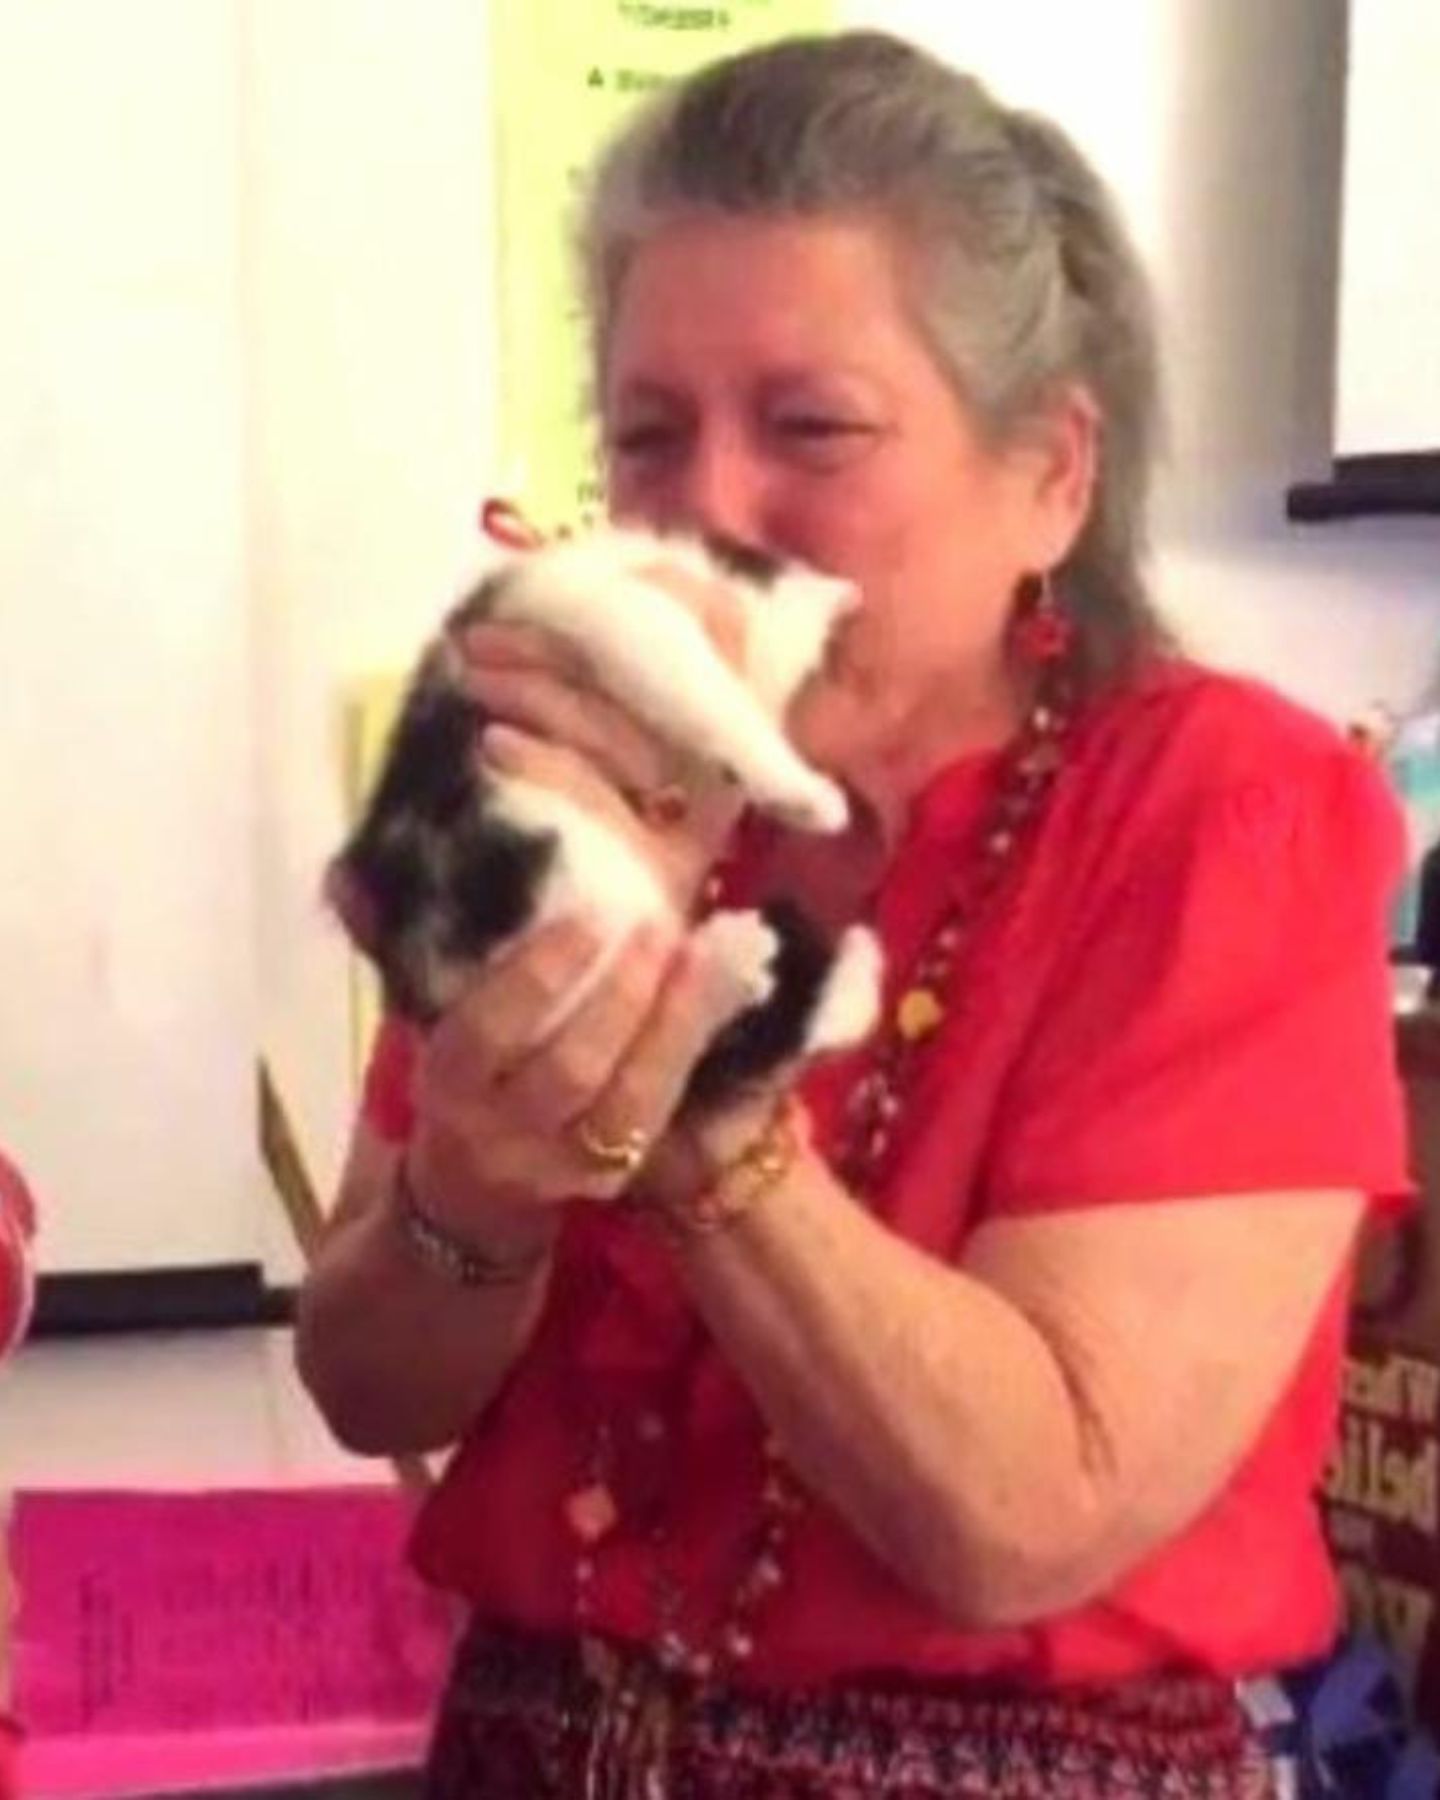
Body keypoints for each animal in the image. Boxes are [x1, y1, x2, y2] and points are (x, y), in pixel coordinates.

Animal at [325, 525, 882, 1108]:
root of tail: (433, 987)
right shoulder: (622, 616)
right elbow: (711, 698)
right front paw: (804, 791)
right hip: (577, 890)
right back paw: (738, 954)